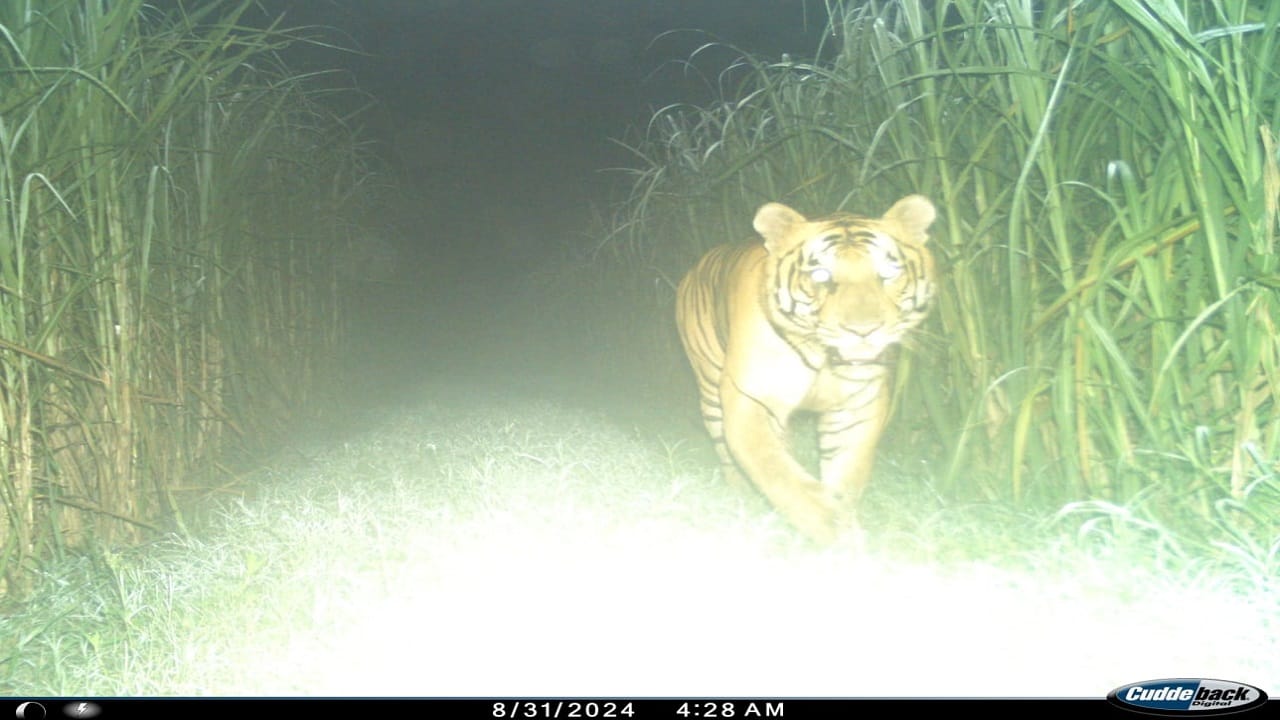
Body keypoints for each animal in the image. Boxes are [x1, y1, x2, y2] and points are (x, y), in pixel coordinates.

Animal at [675, 195, 937, 545]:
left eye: (889, 271)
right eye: (821, 275)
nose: (863, 330)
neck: (824, 358)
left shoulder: (855, 407)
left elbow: (846, 475)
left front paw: (843, 521)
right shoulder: (753, 397)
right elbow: (773, 467)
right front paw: (829, 525)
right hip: (711, 392)